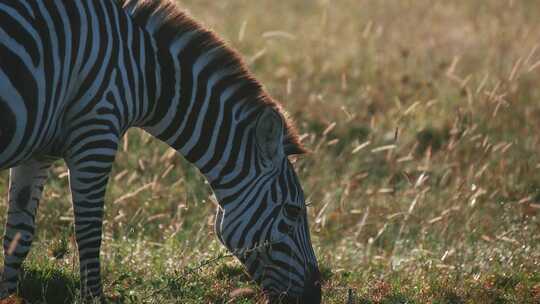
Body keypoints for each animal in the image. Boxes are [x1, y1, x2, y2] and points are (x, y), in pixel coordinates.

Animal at [0, 0, 320, 302]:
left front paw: (9, 297)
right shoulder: (96, 133)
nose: (315, 295)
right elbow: (90, 233)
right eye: (293, 211)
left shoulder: (39, 152)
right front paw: (93, 298)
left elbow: (19, 235)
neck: (145, 71)